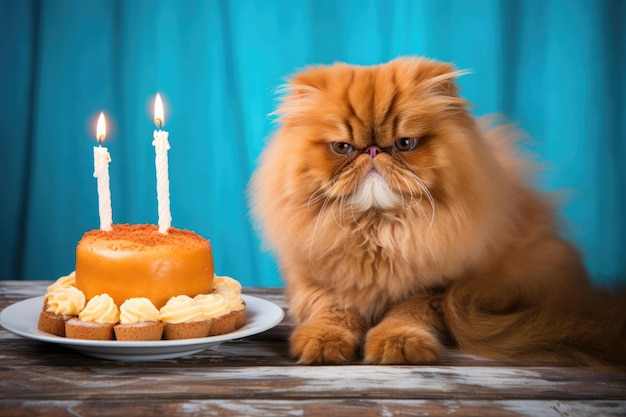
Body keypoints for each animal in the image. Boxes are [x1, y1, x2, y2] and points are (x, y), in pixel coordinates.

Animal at [249, 57, 624, 368]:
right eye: (342, 147)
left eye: (405, 144)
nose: (373, 151)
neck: (378, 230)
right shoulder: (320, 283)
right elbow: (332, 312)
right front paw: (323, 343)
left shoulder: (435, 292)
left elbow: (406, 315)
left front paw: (398, 345)